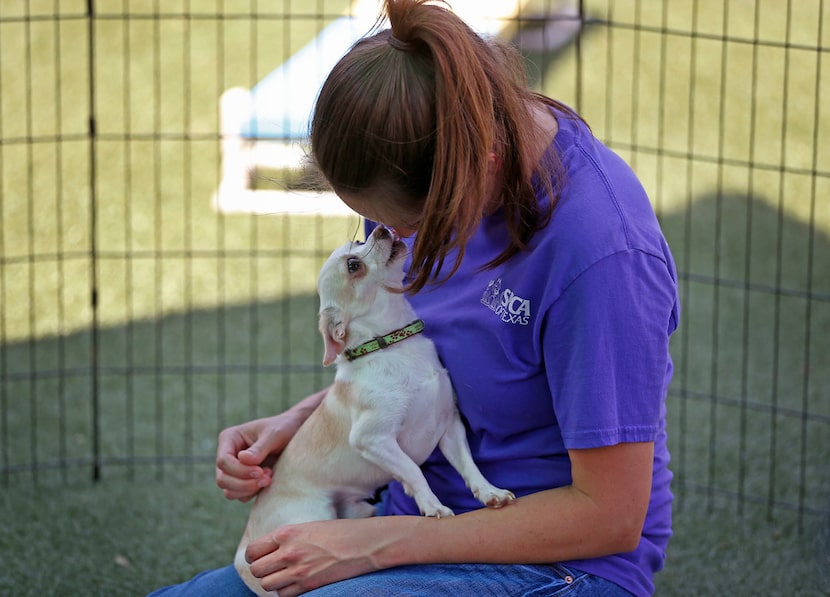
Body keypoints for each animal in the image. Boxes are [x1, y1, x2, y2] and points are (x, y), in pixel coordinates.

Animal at [234, 226, 516, 592]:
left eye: (356, 243)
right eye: (354, 265)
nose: (381, 229)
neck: (395, 346)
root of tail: (243, 547)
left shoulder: (449, 427)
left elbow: (468, 466)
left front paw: (489, 492)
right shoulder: (373, 439)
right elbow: (412, 469)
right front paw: (432, 505)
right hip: (314, 515)